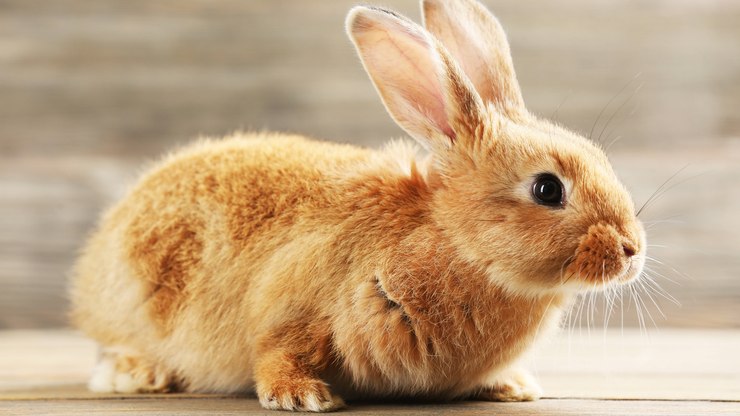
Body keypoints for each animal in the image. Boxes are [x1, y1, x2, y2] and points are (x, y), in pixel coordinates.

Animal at [70, 0, 647, 412]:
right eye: (548, 189)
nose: (632, 251)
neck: (455, 247)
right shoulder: (294, 301)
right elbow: (278, 349)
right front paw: (302, 396)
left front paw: (512, 386)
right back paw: (137, 373)